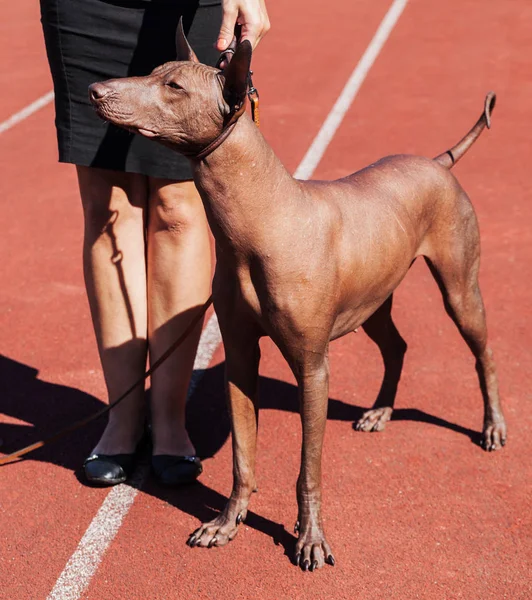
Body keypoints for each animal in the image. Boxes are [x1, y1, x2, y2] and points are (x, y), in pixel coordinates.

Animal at [89, 29, 504, 572]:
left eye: (174, 86)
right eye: (156, 71)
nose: (95, 90)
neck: (259, 221)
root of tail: (438, 162)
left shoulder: (312, 368)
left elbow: (308, 468)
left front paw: (310, 538)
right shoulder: (240, 358)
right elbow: (243, 457)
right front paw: (228, 521)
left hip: (459, 289)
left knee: (484, 353)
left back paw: (492, 426)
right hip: (375, 301)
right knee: (397, 347)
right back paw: (380, 411)